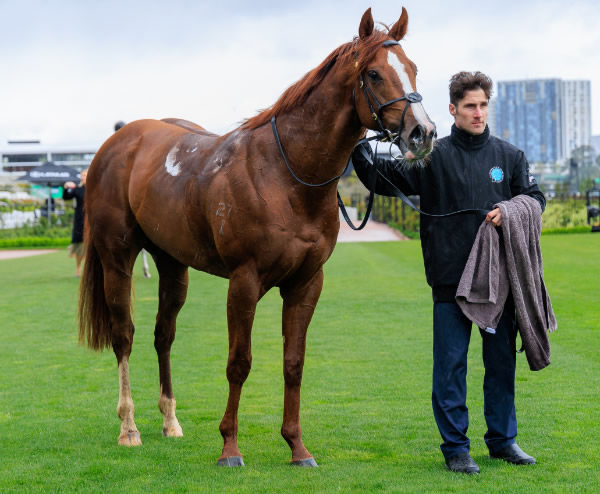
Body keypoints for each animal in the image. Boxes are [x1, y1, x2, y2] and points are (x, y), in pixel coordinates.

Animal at [79, 9, 436, 468]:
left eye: (413, 69)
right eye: (374, 74)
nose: (422, 133)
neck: (284, 175)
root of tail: (119, 142)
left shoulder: (306, 283)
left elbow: (293, 363)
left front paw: (297, 447)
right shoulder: (244, 282)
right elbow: (239, 362)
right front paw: (230, 447)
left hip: (173, 264)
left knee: (164, 335)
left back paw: (170, 421)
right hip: (117, 258)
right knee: (124, 335)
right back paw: (129, 427)